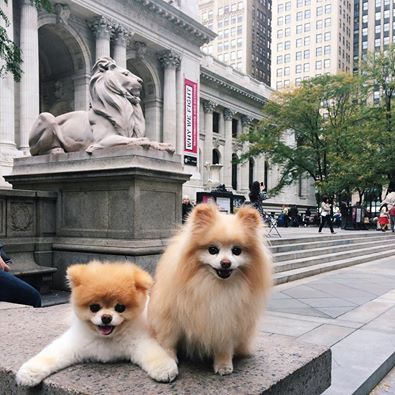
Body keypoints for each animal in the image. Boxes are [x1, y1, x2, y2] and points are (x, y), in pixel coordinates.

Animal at [16, 262, 178, 388]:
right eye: (94, 307)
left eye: (120, 307)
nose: (106, 317)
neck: (107, 339)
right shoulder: (72, 343)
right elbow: (49, 355)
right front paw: (29, 373)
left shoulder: (140, 342)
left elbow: (155, 353)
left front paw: (164, 368)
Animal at [148, 204, 272, 378]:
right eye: (213, 249)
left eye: (236, 251)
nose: (225, 263)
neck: (212, 286)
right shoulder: (171, 318)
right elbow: (168, 341)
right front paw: (167, 359)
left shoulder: (225, 322)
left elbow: (224, 346)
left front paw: (223, 365)